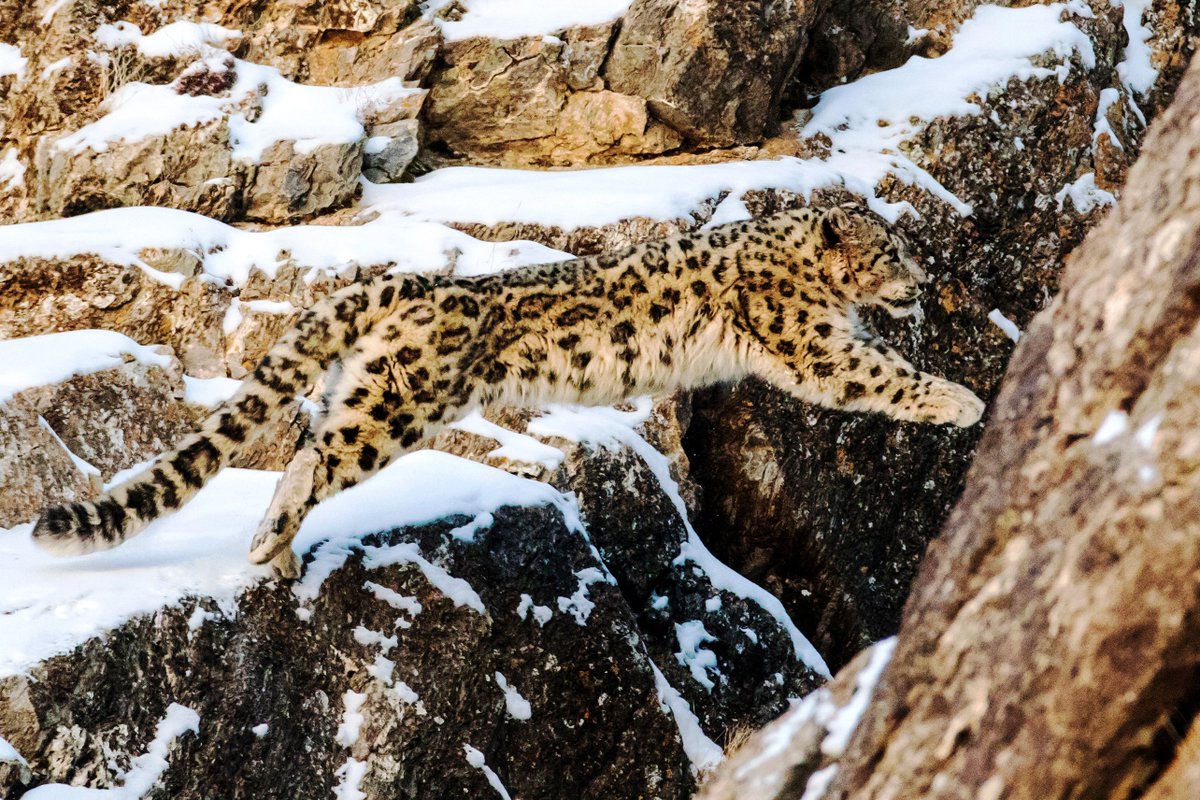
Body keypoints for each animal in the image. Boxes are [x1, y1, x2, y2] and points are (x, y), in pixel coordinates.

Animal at [32, 204, 985, 578]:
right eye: (892, 250)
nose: (924, 279)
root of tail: (404, 282)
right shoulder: (814, 343)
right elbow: (879, 374)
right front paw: (965, 401)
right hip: (399, 404)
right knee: (321, 453)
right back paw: (272, 540)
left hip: (364, 389)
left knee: (307, 439)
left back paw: (274, 542)